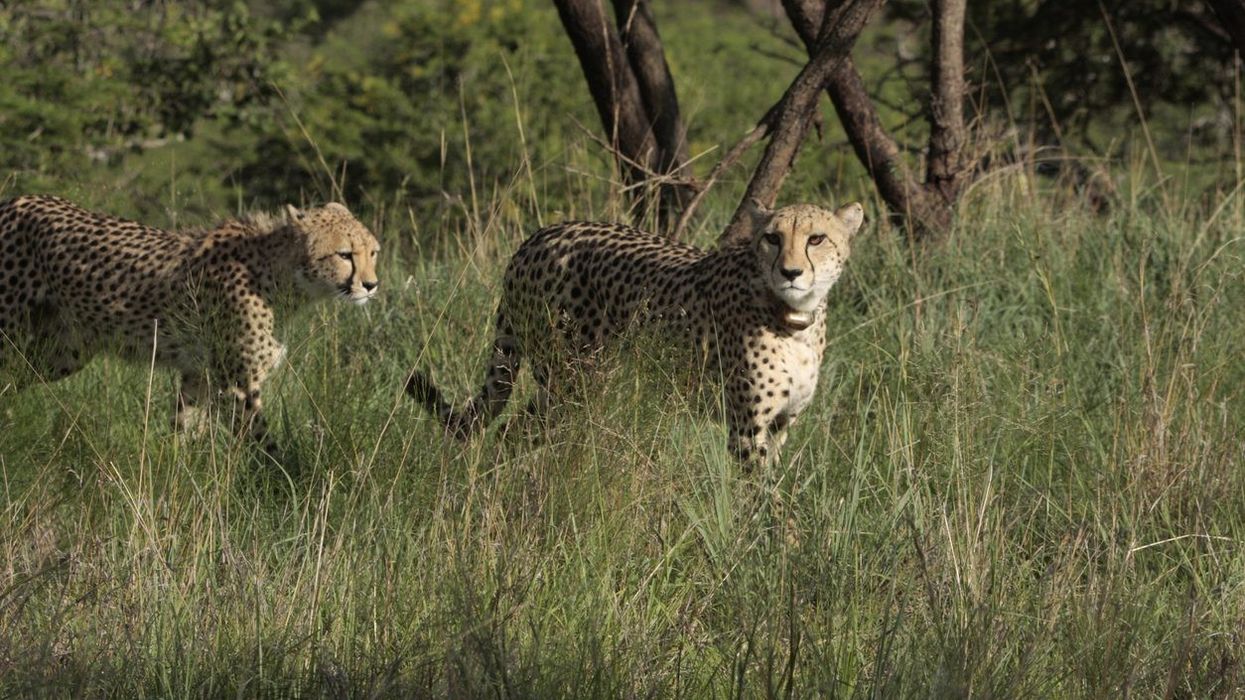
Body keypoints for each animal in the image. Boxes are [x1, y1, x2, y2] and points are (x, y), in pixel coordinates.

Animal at [0, 194, 380, 450]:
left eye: (373, 252)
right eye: (344, 254)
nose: (371, 285)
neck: (281, 275)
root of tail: (17, 198)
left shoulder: (200, 375)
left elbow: (185, 427)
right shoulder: (237, 384)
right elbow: (263, 443)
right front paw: (281, 480)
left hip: (62, 353)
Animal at [406, 200, 864, 466]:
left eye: (816, 238)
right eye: (771, 237)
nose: (790, 272)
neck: (795, 320)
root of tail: (538, 236)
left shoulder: (780, 424)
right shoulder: (747, 428)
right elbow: (765, 499)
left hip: (568, 386)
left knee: (512, 433)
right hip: (574, 383)